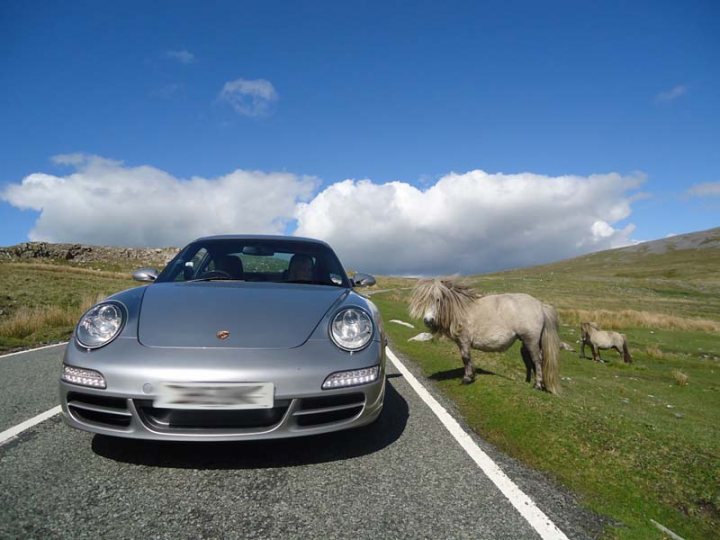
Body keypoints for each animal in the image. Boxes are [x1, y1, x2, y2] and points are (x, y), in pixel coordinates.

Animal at [408, 280, 560, 394]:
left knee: (537, 360)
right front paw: (471, 375)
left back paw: (537, 385)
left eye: (438, 300)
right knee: (530, 362)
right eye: (423, 301)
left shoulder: (464, 340)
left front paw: (467, 378)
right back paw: (530, 382)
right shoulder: (461, 342)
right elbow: (466, 359)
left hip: (531, 340)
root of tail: (540, 305)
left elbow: (465, 358)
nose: (428, 320)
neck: (460, 310)